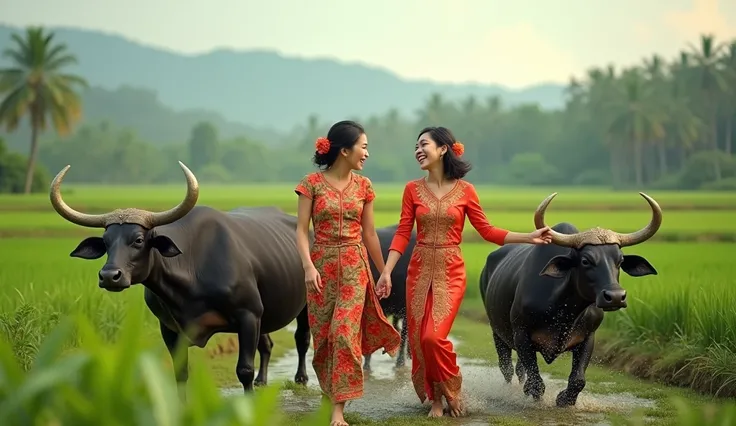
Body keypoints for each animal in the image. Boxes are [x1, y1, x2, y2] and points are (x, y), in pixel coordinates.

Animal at [48, 162, 314, 396]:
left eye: (138, 240)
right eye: (106, 242)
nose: (109, 276)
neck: (190, 279)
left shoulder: (248, 315)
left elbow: (244, 370)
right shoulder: (170, 328)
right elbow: (181, 372)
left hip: (303, 304)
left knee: (301, 338)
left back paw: (301, 378)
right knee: (267, 344)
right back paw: (262, 380)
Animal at [478, 192, 660, 406]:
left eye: (620, 260)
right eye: (585, 260)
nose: (615, 297)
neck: (563, 309)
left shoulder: (588, 337)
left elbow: (578, 380)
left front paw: (564, 400)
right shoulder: (521, 334)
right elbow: (536, 382)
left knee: (519, 369)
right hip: (497, 332)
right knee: (506, 368)